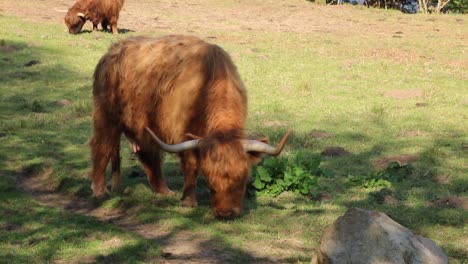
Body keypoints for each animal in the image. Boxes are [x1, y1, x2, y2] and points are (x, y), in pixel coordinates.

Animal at [89, 35, 290, 219]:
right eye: (210, 182)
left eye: (242, 179)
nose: (225, 213)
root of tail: (113, 50)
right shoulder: (184, 135)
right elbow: (191, 166)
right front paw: (188, 201)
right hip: (105, 116)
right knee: (102, 147)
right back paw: (99, 191)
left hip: (145, 124)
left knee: (148, 154)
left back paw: (164, 191)